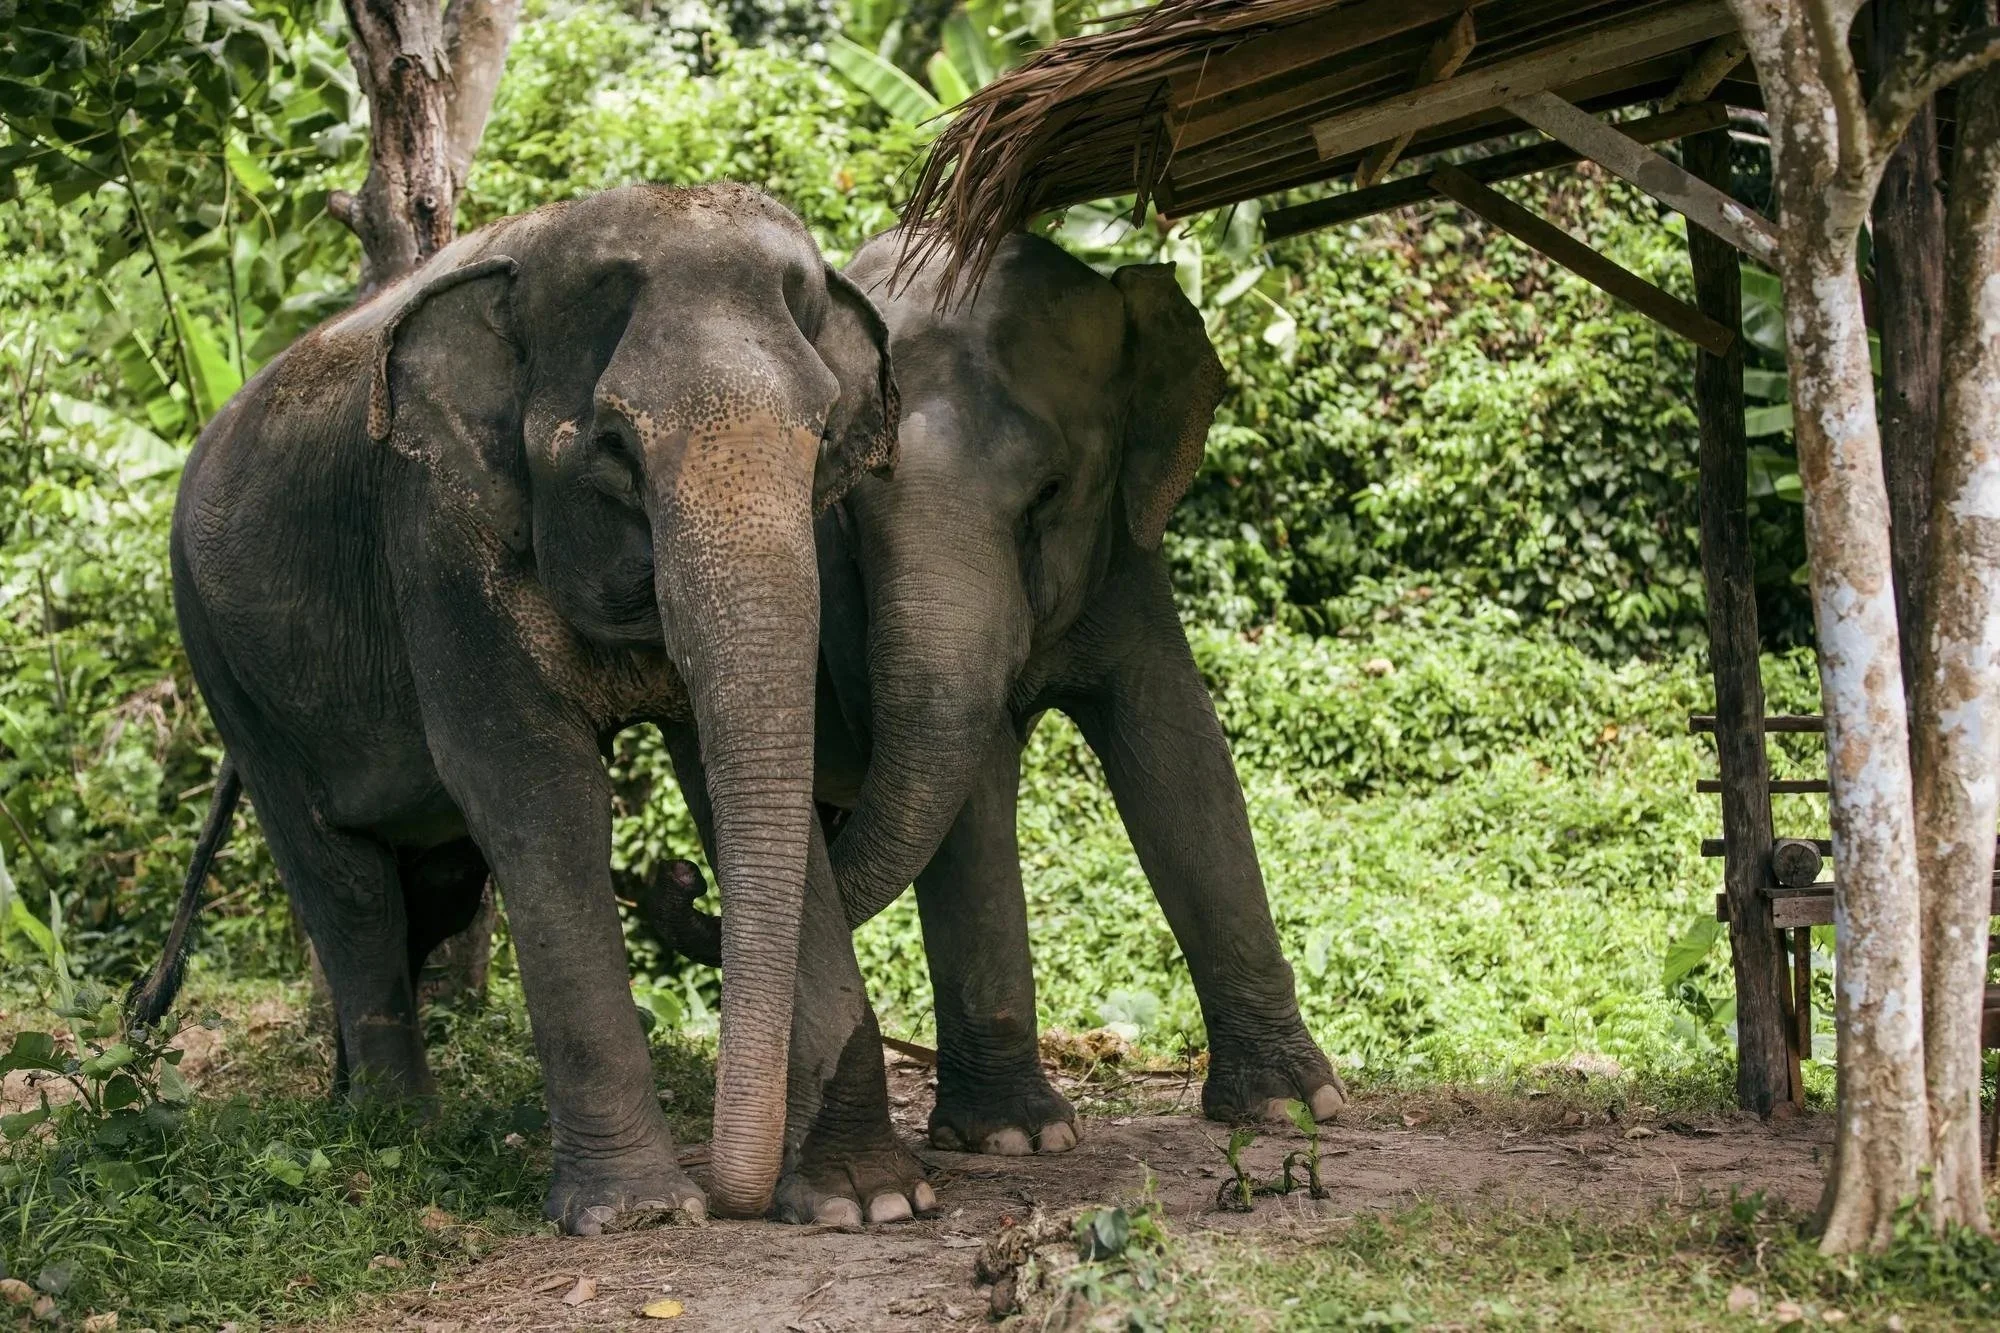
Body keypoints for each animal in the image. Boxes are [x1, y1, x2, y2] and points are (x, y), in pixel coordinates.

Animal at [126, 183, 931, 1231]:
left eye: (825, 433)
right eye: (614, 447)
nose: (736, 1199)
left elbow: (727, 786)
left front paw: (869, 1201)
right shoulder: (434, 530)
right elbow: (534, 791)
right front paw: (639, 1215)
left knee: (428, 885)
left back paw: (352, 1104)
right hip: (226, 666)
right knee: (347, 885)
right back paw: (398, 1132)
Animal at [651, 229, 1342, 1162]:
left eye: (1048, 492)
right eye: (849, 516)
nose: (676, 883)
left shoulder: (1127, 560)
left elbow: (1181, 751)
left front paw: (1293, 1105)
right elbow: (972, 797)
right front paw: (1016, 1136)